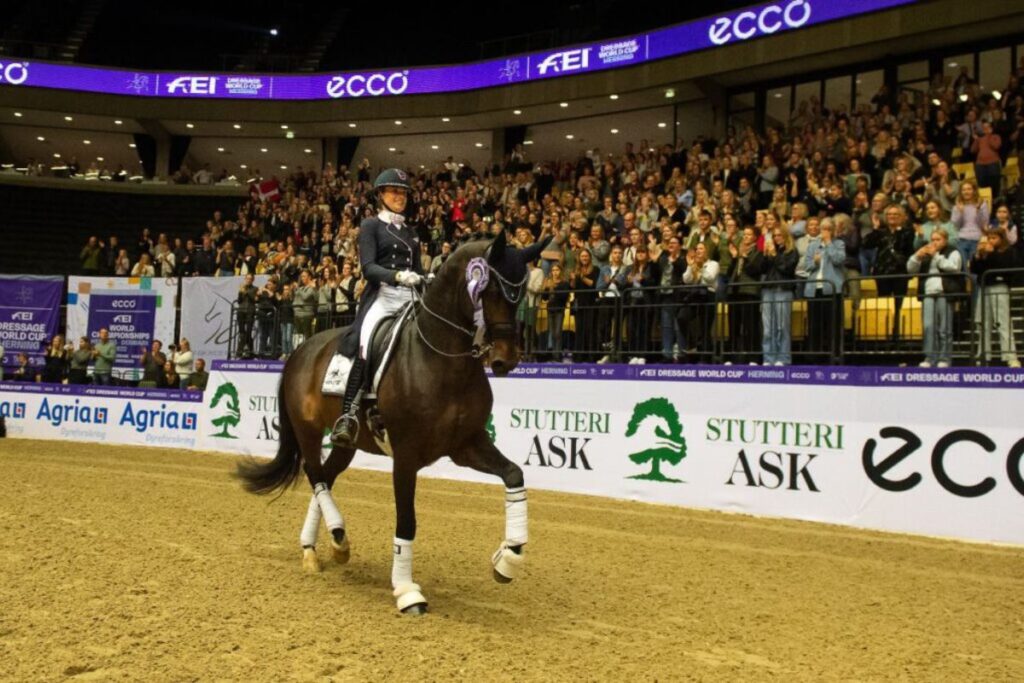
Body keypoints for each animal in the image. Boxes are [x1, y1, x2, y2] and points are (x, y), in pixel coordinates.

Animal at [236, 232, 548, 618]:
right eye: (489, 290)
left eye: (522, 293)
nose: (507, 359)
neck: (441, 359)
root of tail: (300, 350)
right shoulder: (406, 455)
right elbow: (407, 520)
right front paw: (407, 591)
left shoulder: (467, 445)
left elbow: (514, 475)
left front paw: (508, 559)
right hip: (308, 430)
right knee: (315, 475)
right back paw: (336, 536)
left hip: (346, 443)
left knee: (324, 477)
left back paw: (319, 548)